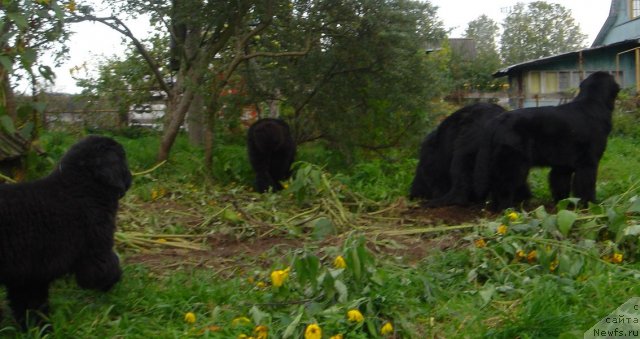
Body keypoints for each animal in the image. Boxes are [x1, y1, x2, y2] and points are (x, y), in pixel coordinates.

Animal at [0, 135, 131, 330]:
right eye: (123, 158)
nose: (130, 179)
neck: (79, 189)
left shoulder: (28, 275)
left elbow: (28, 304)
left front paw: (34, 328)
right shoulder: (95, 251)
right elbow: (106, 268)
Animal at [476, 70, 620, 211]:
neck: (593, 104)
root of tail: (497, 121)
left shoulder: (563, 164)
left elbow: (560, 184)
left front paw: (563, 203)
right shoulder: (588, 162)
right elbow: (586, 185)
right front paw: (591, 204)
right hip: (513, 162)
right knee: (504, 185)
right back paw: (507, 209)